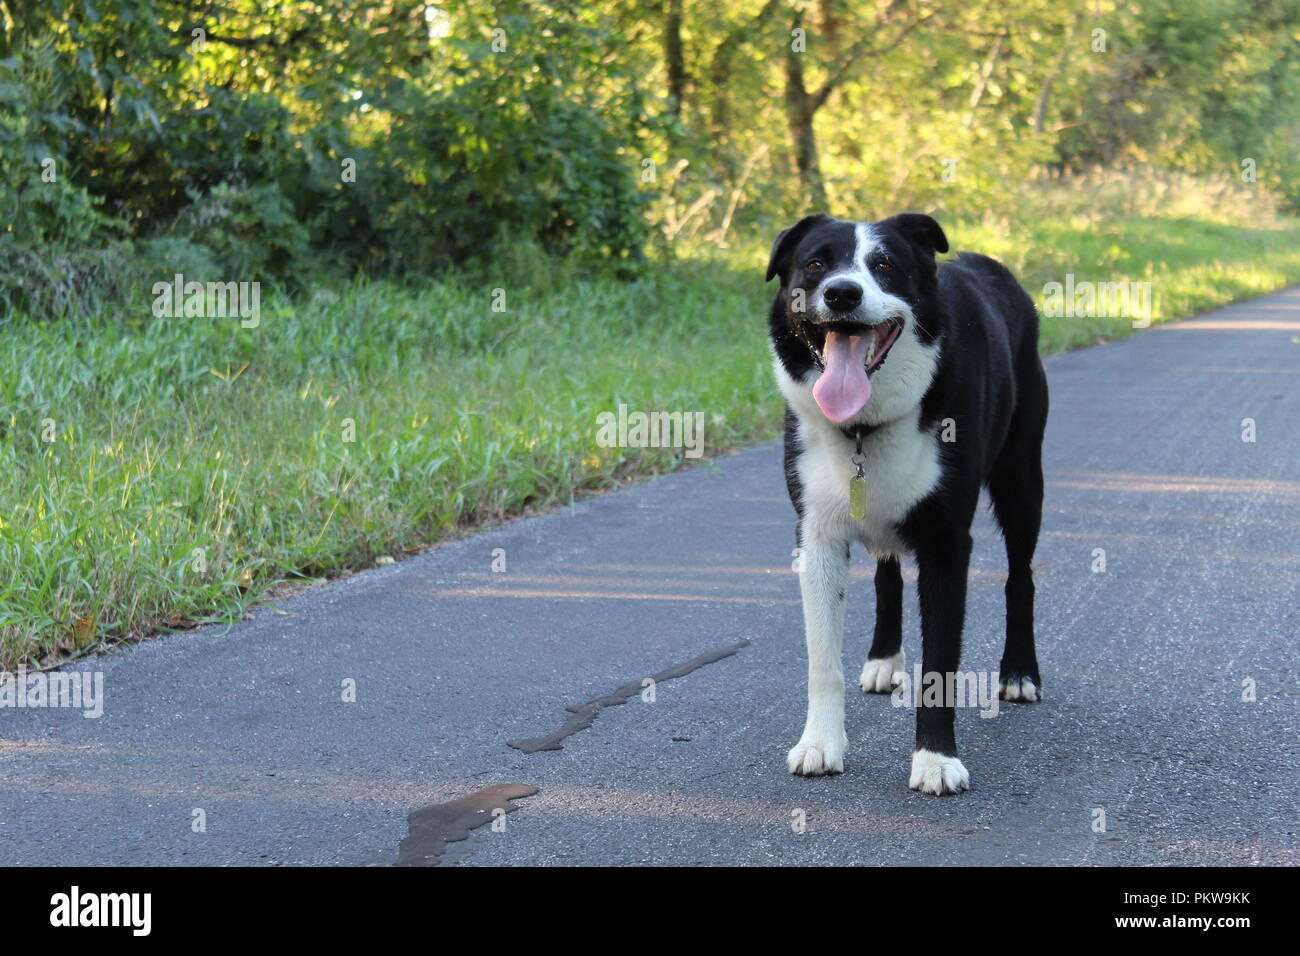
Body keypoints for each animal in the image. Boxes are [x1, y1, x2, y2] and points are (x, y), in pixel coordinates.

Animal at [764, 213, 1050, 796]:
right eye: (815, 263)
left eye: (885, 266)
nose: (843, 293)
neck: (862, 428)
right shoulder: (817, 536)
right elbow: (822, 659)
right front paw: (820, 744)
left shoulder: (947, 542)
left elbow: (940, 661)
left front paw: (936, 761)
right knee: (887, 571)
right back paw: (883, 659)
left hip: (1021, 476)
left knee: (1020, 574)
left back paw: (1018, 673)